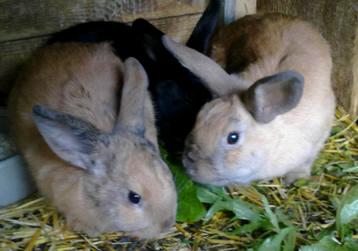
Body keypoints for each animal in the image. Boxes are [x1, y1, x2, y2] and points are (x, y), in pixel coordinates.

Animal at [162, 13, 336, 186]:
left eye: (233, 138)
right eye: (198, 117)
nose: (188, 165)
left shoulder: (317, 141)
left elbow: (306, 162)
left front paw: (295, 179)